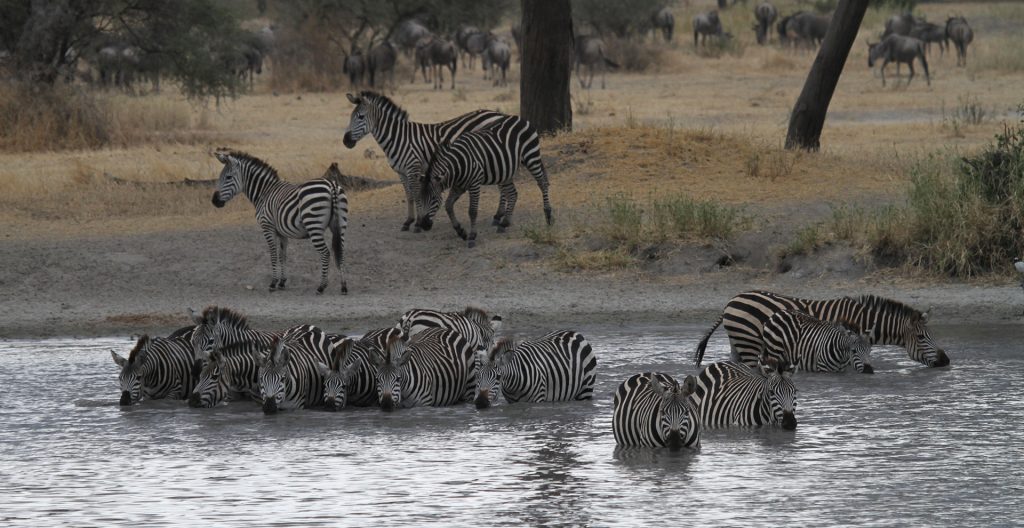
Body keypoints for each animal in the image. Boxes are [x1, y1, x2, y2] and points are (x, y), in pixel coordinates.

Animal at [210, 150, 348, 294]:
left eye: (228, 177)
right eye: (221, 177)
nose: (214, 201)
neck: (264, 192)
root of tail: (331, 185)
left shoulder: (267, 227)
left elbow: (273, 255)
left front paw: (273, 283)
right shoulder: (282, 232)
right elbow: (283, 256)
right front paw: (282, 282)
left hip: (314, 226)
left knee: (325, 253)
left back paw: (321, 286)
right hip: (341, 225)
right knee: (341, 252)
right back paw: (343, 286)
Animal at [344, 90, 516, 231]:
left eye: (361, 117)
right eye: (350, 117)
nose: (346, 141)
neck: (398, 138)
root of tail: (498, 114)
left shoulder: (413, 168)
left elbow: (416, 194)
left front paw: (418, 223)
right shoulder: (401, 172)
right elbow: (409, 196)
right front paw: (408, 221)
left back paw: (500, 216)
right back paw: (498, 216)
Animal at [417, 116, 557, 246]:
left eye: (434, 199)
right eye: (421, 199)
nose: (423, 225)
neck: (457, 167)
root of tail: (519, 118)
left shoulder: (474, 184)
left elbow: (472, 211)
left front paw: (472, 236)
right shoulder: (459, 186)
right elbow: (448, 205)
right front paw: (461, 231)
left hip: (531, 156)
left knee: (542, 183)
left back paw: (548, 215)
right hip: (505, 170)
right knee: (513, 193)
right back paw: (504, 223)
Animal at [692, 290, 946, 368]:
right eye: (922, 337)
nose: (946, 361)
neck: (861, 318)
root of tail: (732, 299)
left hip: (738, 342)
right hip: (749, 343)